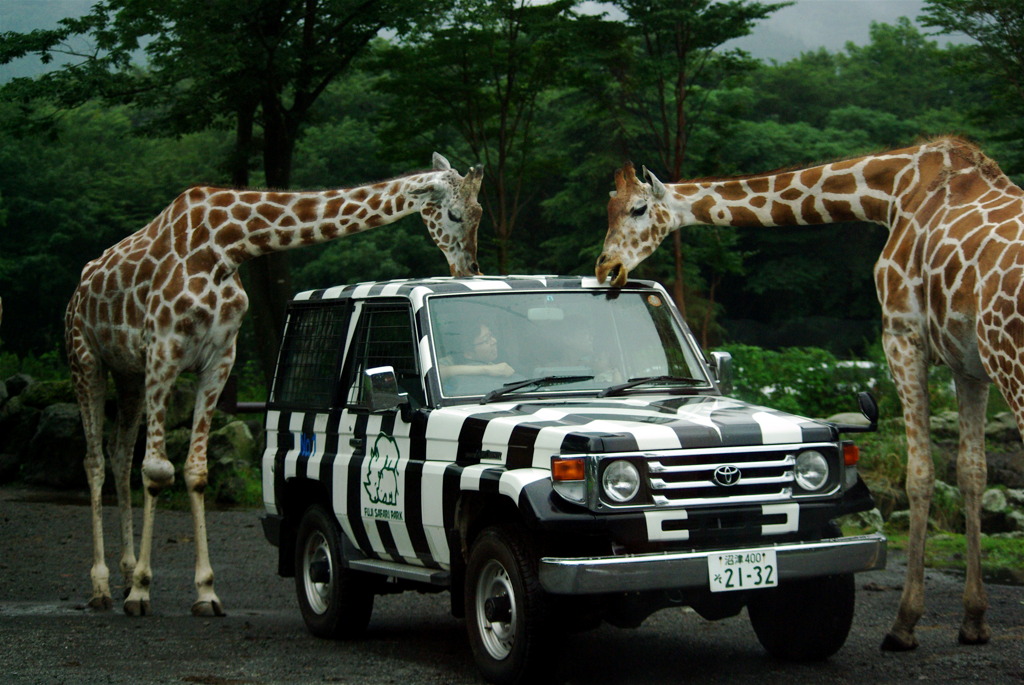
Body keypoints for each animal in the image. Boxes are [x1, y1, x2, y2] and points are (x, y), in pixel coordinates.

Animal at [67, 153, 483, 614]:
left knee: (120, 454)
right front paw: (142, 591)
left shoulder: (218, 359)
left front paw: (205, 591)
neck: (227, 245)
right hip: (87, 360)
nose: (470, 269)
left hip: (127, 374)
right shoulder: (164, 352)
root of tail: (80, 286)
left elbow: (196, 471)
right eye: (454, 214)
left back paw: (122, 574)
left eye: (480, 212)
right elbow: (158, 471)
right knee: (95, 460)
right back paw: (104, 586)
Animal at [598, 136, 1019, 651]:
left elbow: (919, 476)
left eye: (637, 209)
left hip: (1010, 358)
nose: (606, 268)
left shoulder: (904, 335)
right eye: (608, 209)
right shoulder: (968, 365)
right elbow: (972, 474)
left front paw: (904, 625)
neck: (891, 193)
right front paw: (974, 620)